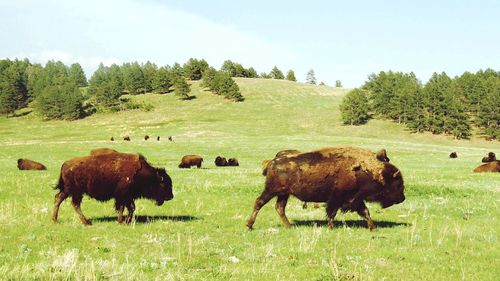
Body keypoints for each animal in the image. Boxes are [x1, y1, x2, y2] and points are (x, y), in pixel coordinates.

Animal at [246, 147, 406, 230]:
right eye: (397, 183)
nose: (402, 198)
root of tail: (272, 161)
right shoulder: (337, 198)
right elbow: (331, 212)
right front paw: (331, 227)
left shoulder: (355, 199)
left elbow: (365, 212)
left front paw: (373, 227)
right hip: (271, 190)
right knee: (259, 202)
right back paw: (249, 225)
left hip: (283, 194)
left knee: (279, 207)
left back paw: (289, 226)